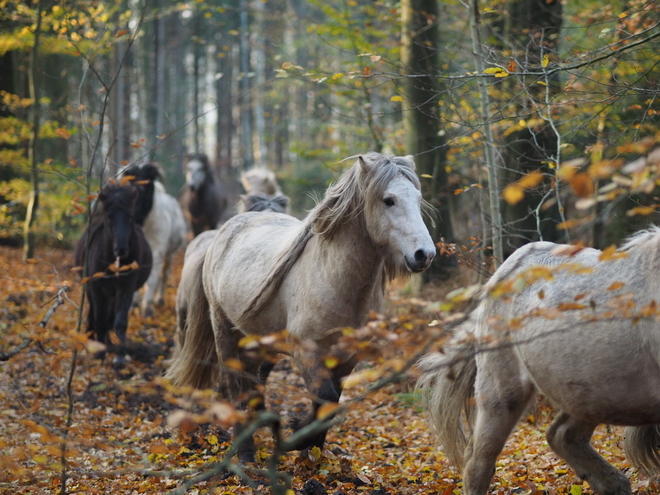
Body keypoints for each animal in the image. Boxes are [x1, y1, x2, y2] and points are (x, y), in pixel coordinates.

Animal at [75, 182, 153, 368]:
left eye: (130, 217)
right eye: (109, 217)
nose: (121, 249)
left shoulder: (126, 287)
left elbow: (119, 321)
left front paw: (119, 357)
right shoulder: (96, 287)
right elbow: (100, 319)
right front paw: (98, 351)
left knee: (110, 316)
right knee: (94, 314)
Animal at [120, 163, 186, 318]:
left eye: (147, 183)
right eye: (129, 183)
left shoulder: (157, 250)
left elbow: (152, 278)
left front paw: (148, 309)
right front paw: (133, 304)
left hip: (169, 253)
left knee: (164, 273)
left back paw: (159, 299)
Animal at [165, 153, 436, 464]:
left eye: (418, 198)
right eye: (388, 200)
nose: (424, 255)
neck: (334, 279)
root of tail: (220, 234)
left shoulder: (347, 357)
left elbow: (331, 401)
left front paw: (311, 452)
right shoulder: (307, 353)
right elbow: (325, 397)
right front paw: (295, 436)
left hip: (257, 341)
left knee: (252, 384)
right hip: (224, 330)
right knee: (233, 385)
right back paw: (246, 453)